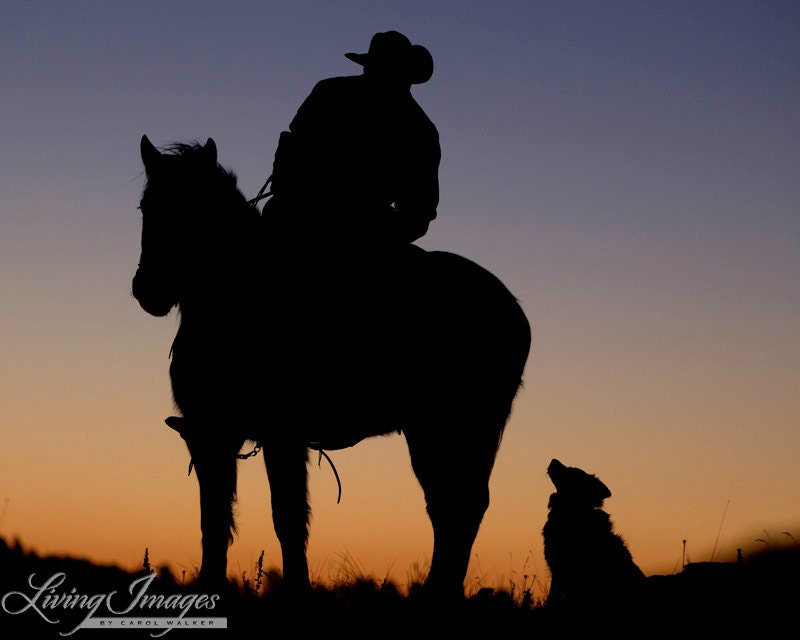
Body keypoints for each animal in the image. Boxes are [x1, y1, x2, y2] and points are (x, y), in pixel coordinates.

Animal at [131, 135, 532, 600]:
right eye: (146, 207)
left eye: (196, 208)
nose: (149, 290)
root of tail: (513, 310)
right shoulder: (212, 433)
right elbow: (213, 519)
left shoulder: (281, 434)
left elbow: (287, 515)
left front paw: (296, 589)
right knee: (449, 506)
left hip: (458, 427)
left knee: (459, 505)